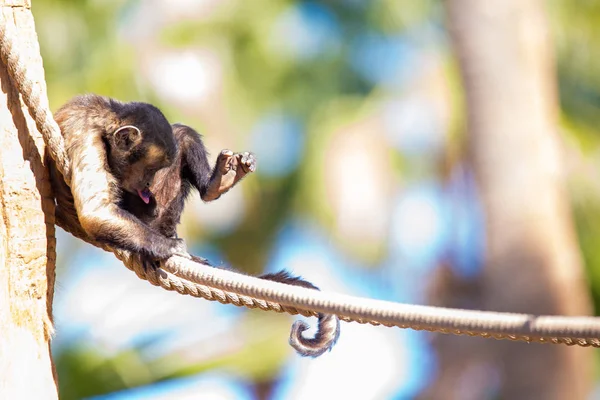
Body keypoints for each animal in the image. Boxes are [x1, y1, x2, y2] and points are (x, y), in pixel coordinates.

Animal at [48, 94, 338, 356]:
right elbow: (95, 214)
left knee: (182, 135)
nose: (148, 185)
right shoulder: (87, 135)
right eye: (149, 169)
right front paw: (169, 248)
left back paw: (215, 185)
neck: (104, 117)